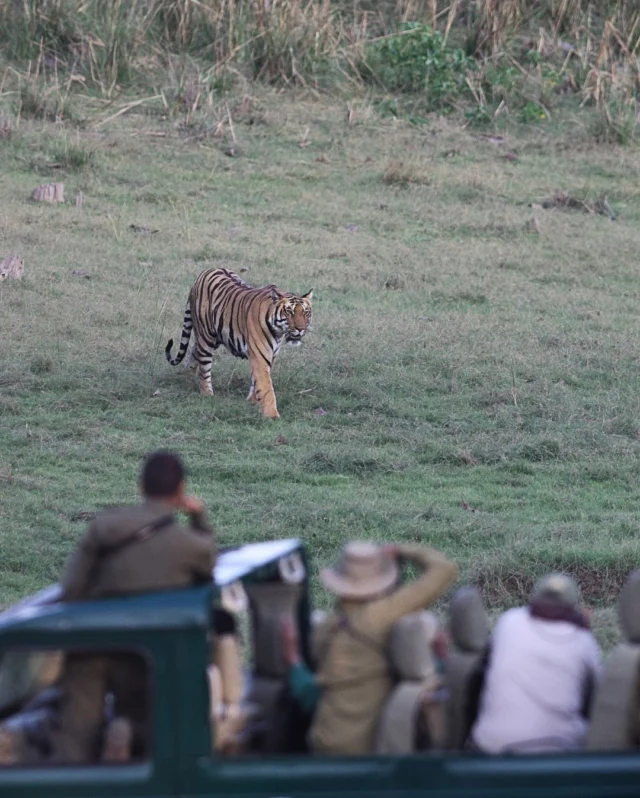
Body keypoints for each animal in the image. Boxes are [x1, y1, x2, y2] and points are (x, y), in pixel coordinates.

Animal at [165, 268, 313, 419]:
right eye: (289, 312)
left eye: (306, 312)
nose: (301, 329)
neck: (278, 332)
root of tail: (204, 272)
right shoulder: (260, 356)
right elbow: (266, 386)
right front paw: (271, 415)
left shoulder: (270, 355)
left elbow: (256, 381)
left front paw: (253, 401)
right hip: (206, 336)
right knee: (204, 367)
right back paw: (207, 394)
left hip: (213, 337)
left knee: (194, 352)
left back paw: (188, 376)